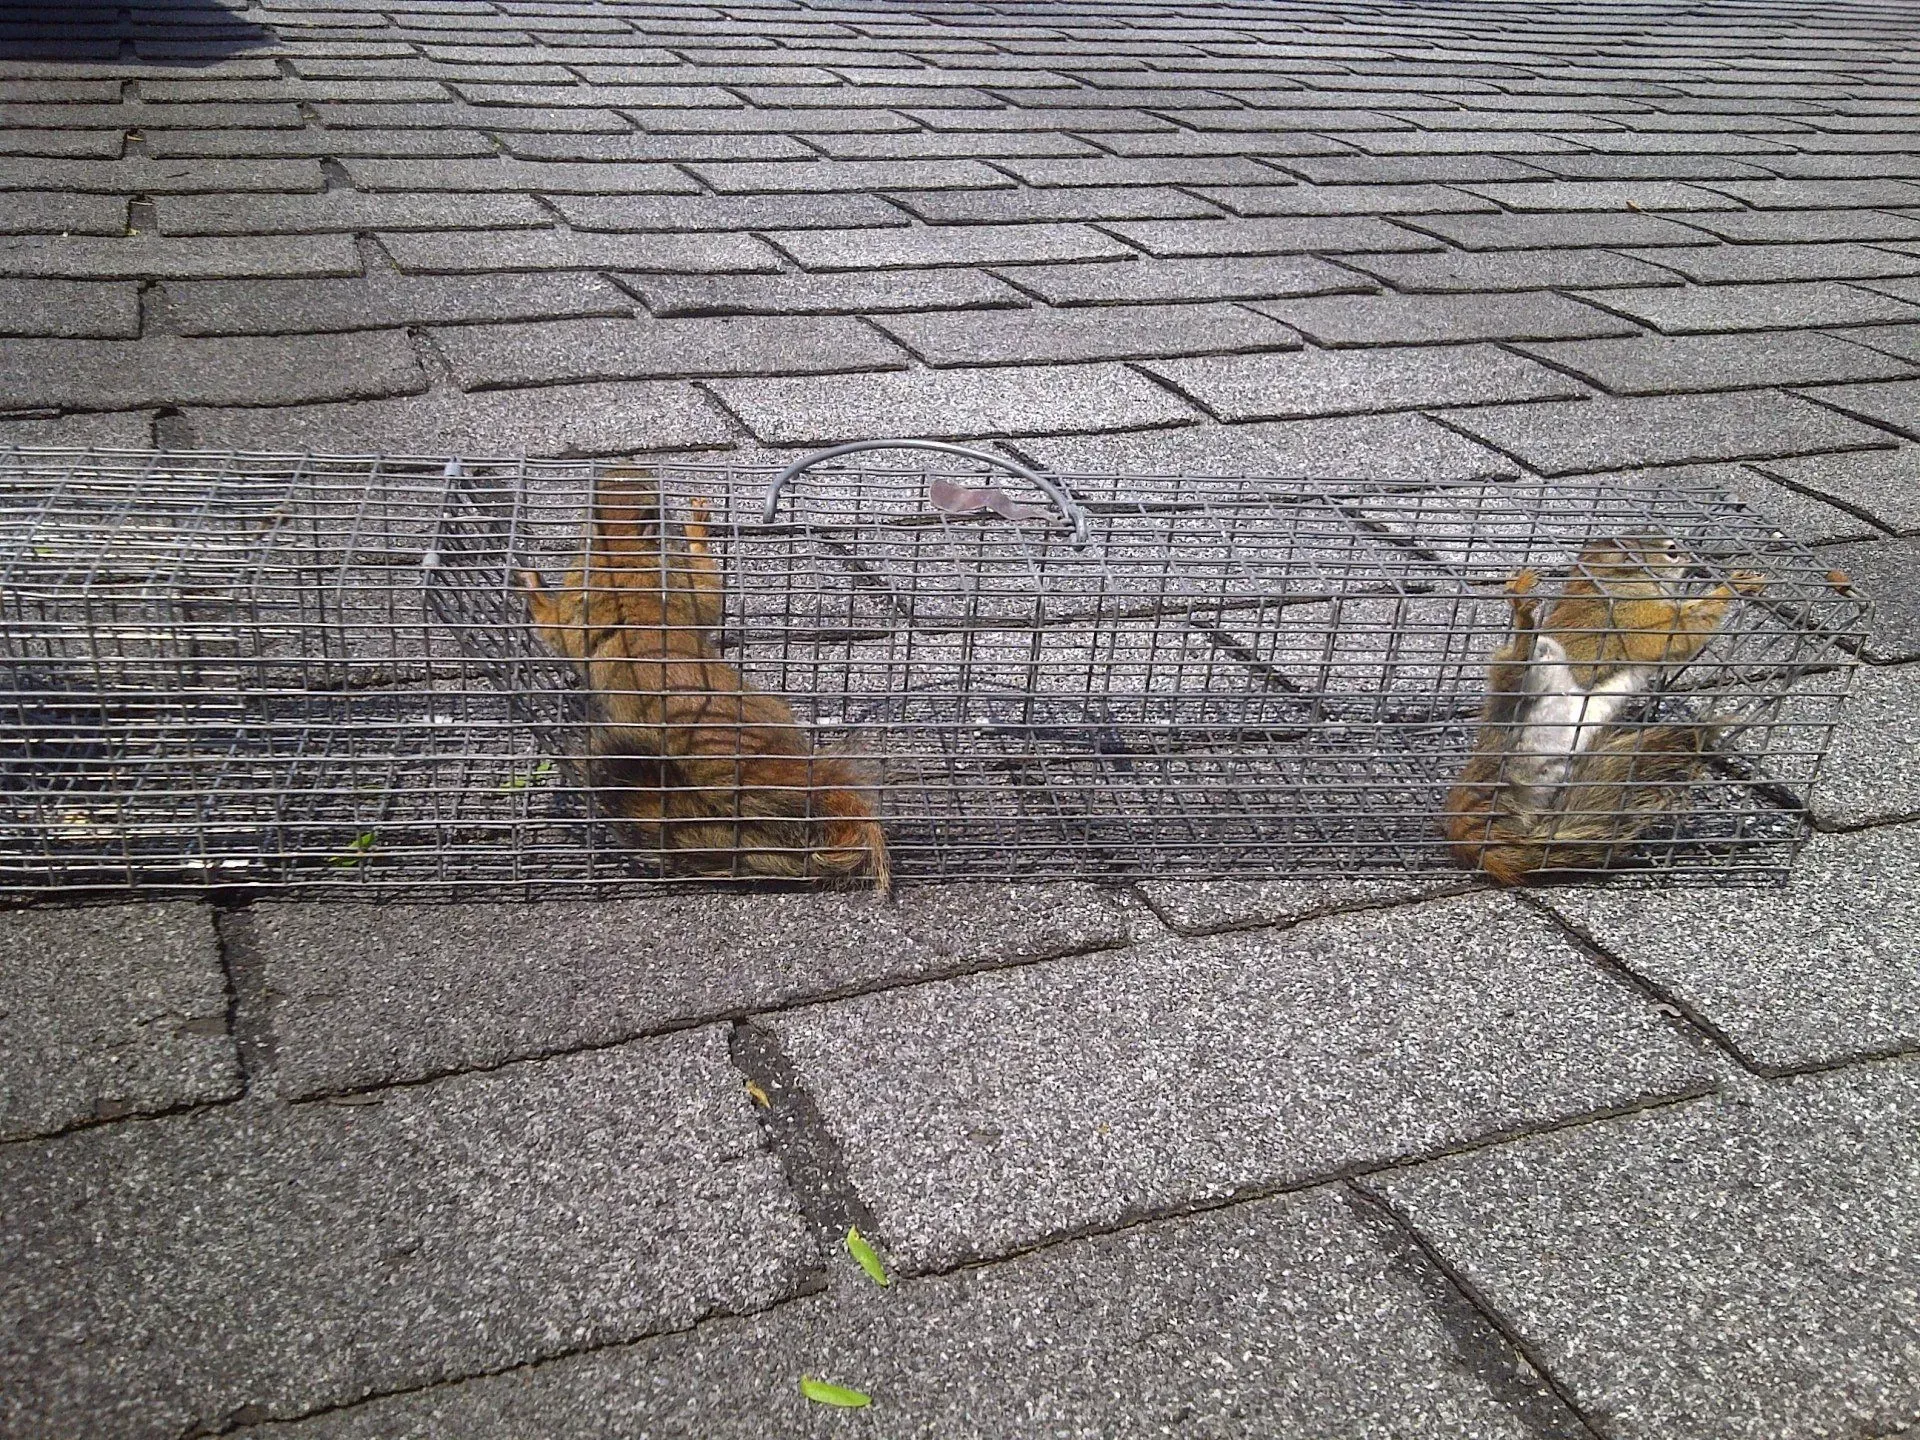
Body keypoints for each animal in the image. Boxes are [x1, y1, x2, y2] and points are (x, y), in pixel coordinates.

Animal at [1442, 535, 1766, 884]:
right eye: (1671, 551)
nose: (1693, 557)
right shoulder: (1638, 617)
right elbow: (1682, 631)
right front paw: (1736, 585)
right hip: (1535, 673)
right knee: (1518, 664)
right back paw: (1523, 612)